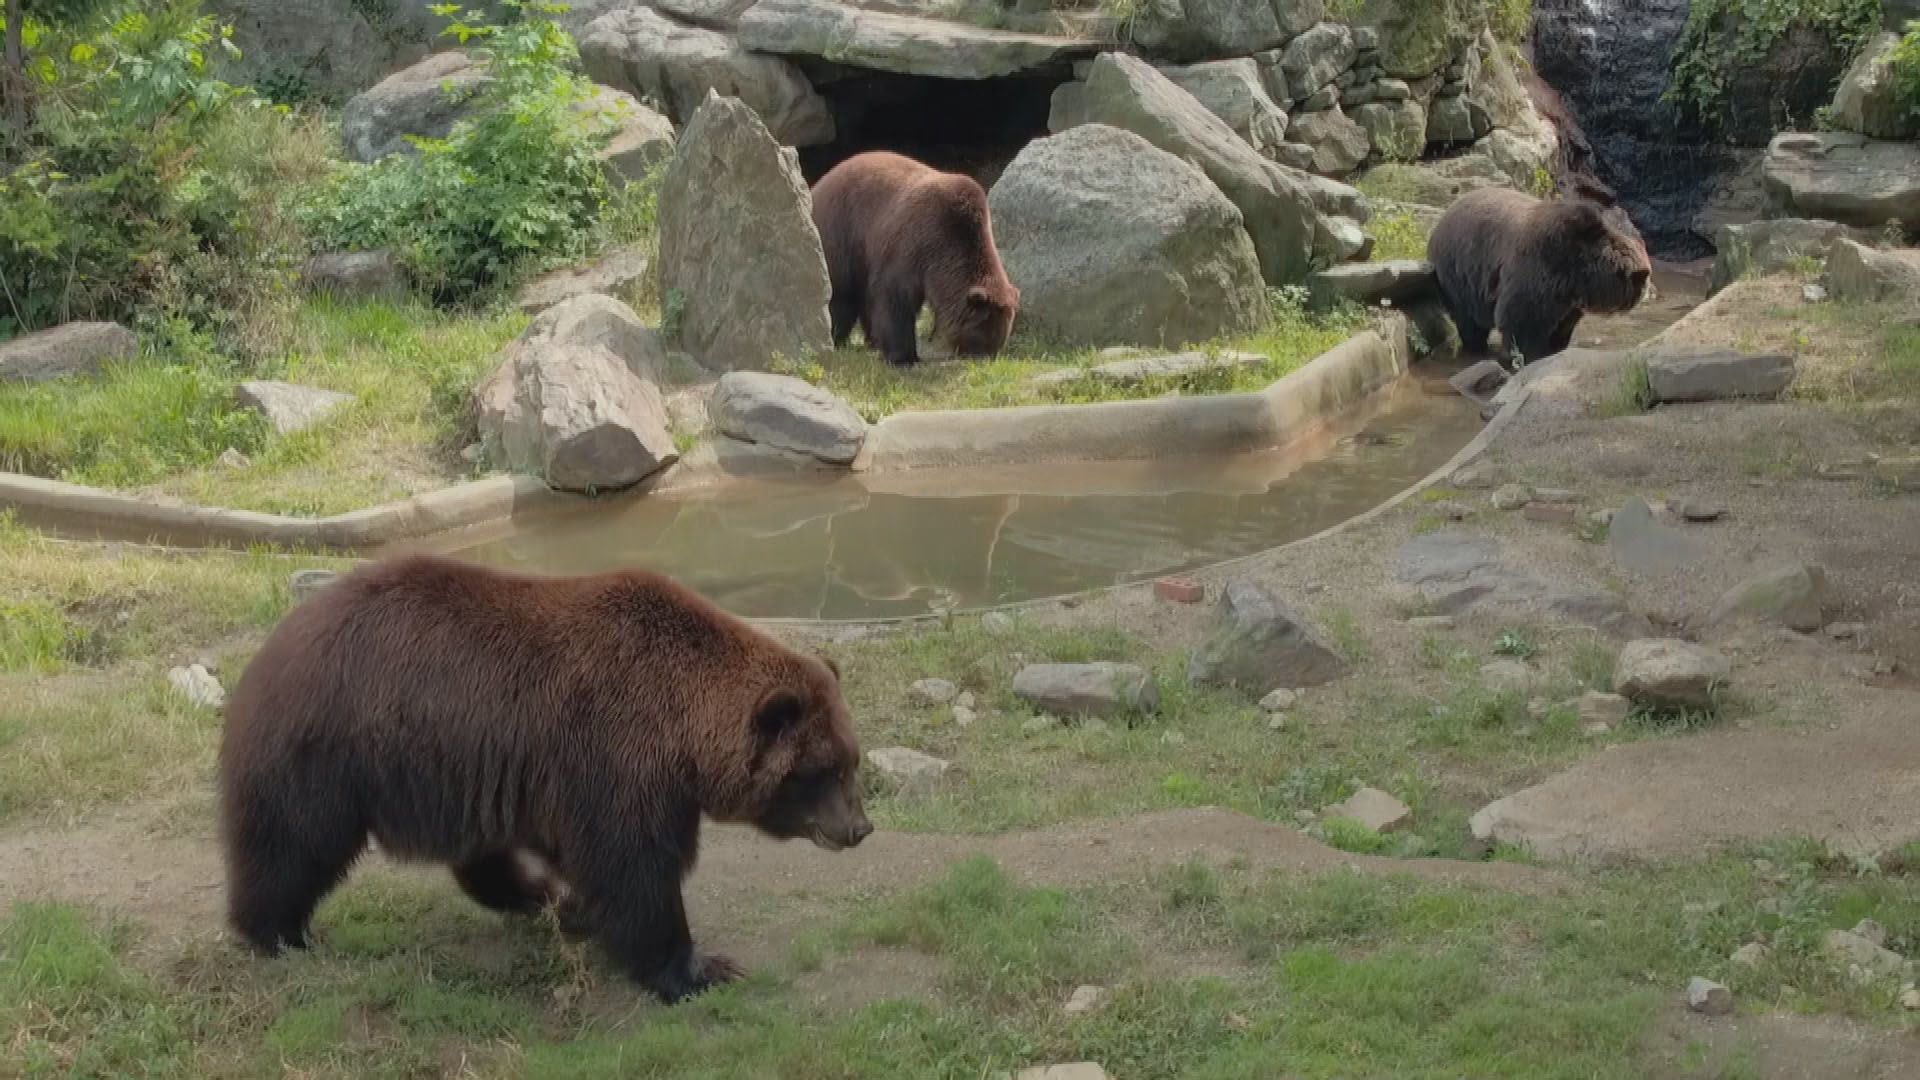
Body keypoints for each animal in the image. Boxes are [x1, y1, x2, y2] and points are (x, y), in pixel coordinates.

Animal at [217, 554, 870, 1004]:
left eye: (852, 759)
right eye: (824, 770)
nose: (859, 828)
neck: (682, 729)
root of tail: (271, 646)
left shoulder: (564, 780)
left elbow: (584, 858)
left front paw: (575, 905)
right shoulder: (614, 755)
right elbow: (633, 869)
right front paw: (699, 968)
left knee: (480, 856)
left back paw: (534, 893)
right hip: (328, 751)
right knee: (292, 842)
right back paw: (278, 932)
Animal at [810, 151, 1020, 367]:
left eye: (998, 342)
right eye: (981, 337)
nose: (985, 360)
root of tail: (818, 185)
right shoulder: (912, 245)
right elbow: (894, 298)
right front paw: (903, 357)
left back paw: (871, 341)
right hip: (841, 231)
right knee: (840, 292)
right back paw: (835, 338)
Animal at [1427, 187, 1652, 369]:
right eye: (1642, 286)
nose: (1641, 297)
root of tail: (1443, 217)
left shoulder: (1566, 299)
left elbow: (1562, 326)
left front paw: (1555, 348)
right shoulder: (1538, 270)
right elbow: (1521, 319)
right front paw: (1527, 355)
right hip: (1459, 273)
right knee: (1469, 321)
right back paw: (1476, 347)